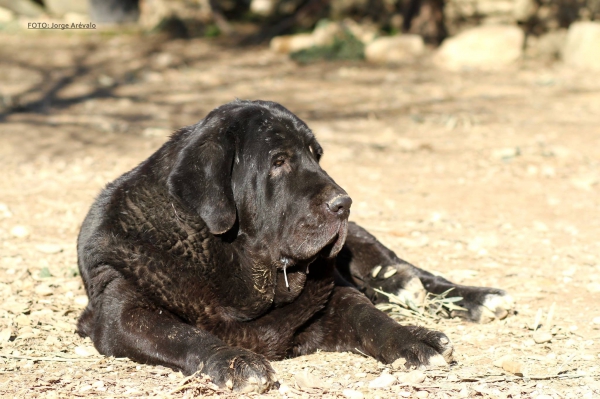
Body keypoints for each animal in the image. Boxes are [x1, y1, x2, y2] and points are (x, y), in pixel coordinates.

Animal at [77, 100, 512, 394]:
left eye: (316, 156)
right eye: (279, 161)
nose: (344, 203)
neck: (240, 266)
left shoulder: (333, 295)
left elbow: (371, 317)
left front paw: (415, 339)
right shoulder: (124, 313)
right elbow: (184, 334)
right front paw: (236, 361)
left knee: (402, 267)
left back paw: (470, 295)